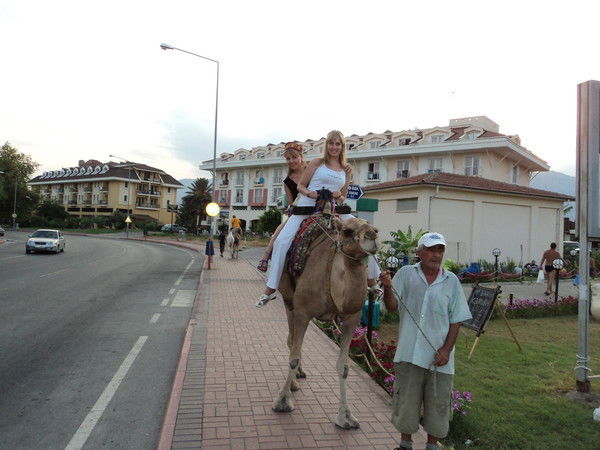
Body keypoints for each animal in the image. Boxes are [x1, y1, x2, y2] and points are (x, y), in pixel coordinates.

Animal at [274, 214, 380, 428]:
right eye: (347, 231)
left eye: (374, 228)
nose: (372, 236)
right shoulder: (302, 312)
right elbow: (293, 356)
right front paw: (282, 401)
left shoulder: (352, 319)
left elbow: (344, 367)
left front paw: (346, 417)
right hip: (289, 301)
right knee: (291, 340)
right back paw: (294, 384)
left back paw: (300, 374)